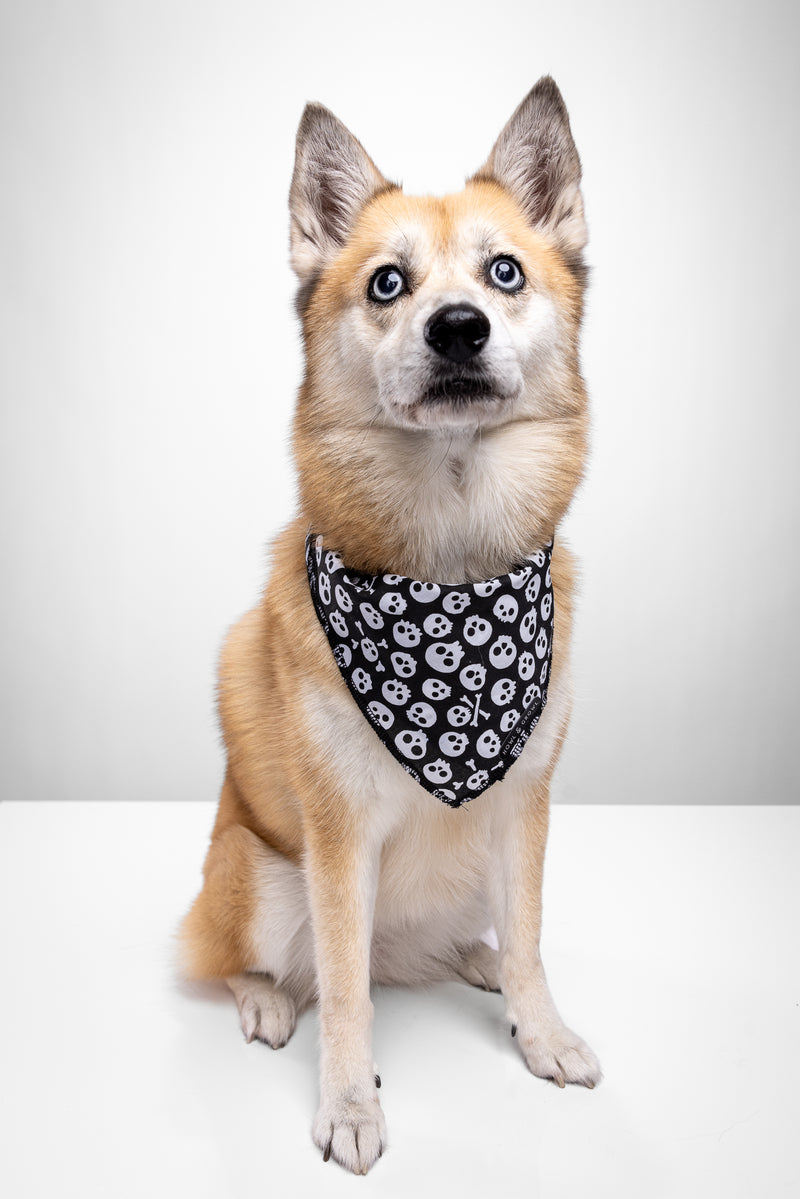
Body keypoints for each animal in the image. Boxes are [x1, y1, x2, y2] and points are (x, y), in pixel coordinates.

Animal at [178, 79, 597, 1175]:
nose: (457, 327)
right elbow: (345, 992)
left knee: (447, 942)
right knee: (259, 959)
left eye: (504, 271)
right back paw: (265, 1001)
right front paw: (349, 1102)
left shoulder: (525, 801)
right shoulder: (337, 833)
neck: (446, 577)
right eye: (385, 283)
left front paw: (540, 1030)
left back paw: (472, 959)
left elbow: (532, 935)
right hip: (258, 875)